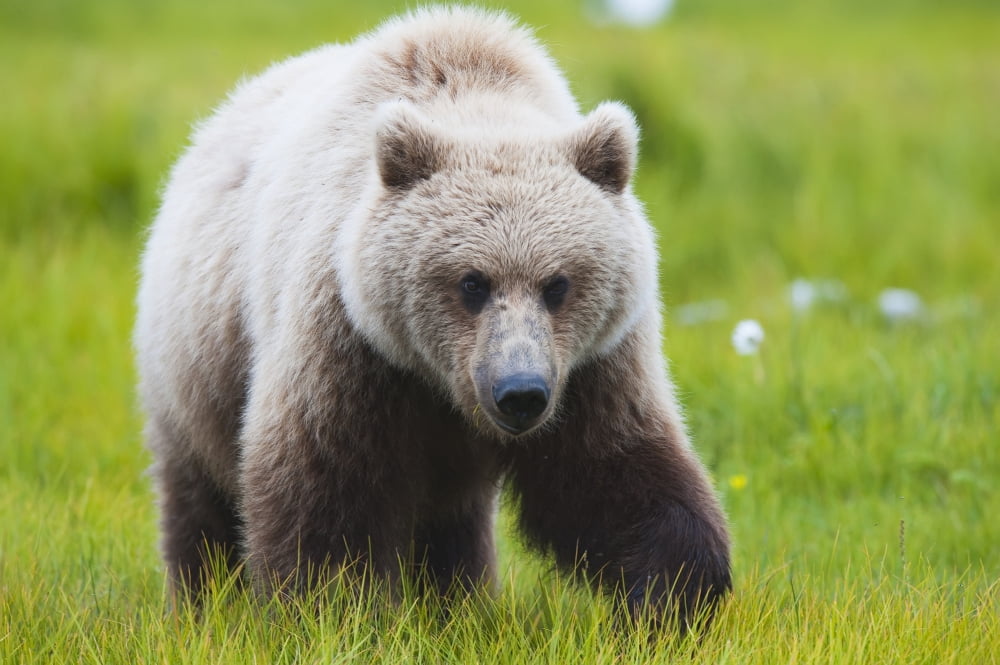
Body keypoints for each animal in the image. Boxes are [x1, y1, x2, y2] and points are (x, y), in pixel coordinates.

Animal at [135, 5, 731, 627]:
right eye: (472, 282)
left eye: (558, 285)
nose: (520, 393)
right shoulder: (350, 345)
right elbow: (327, 491)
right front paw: (334, 612)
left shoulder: (591, 367)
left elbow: (614, 474)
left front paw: (673, 599)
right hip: (196, 362)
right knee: (198, 498)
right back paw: (200, 604)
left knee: (453, 522)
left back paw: (459, 601)